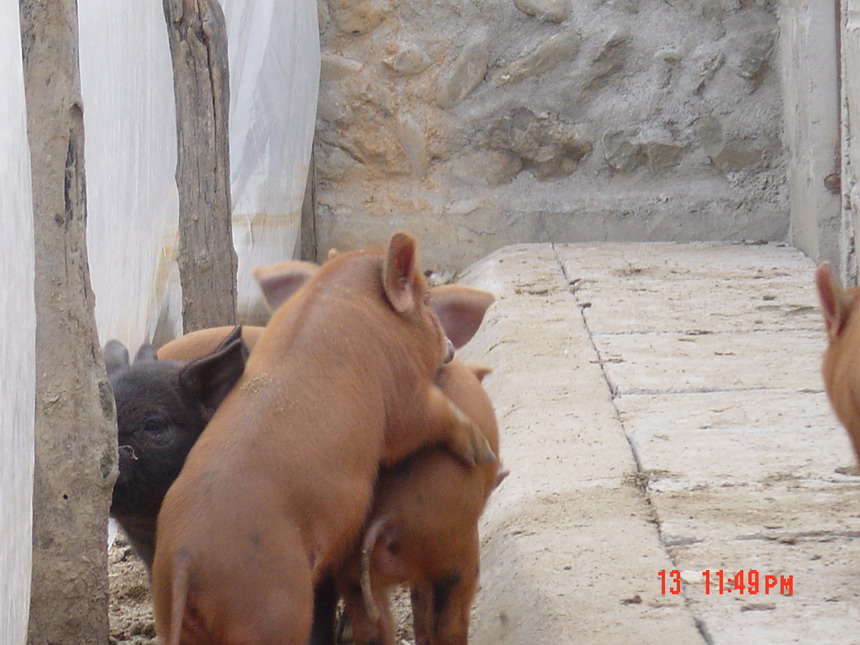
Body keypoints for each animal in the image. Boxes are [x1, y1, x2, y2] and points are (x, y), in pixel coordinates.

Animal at [151, 231, 496, 645]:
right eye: (426, 301)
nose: (450, 348)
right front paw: (483, 453)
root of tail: (185, 559)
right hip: (273, 609)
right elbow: (430, 417)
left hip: (177, 616)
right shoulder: (404, 400)